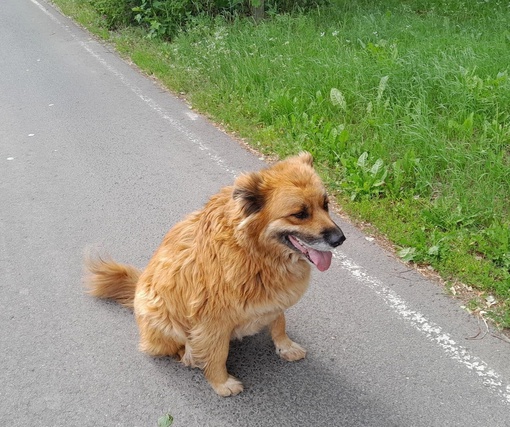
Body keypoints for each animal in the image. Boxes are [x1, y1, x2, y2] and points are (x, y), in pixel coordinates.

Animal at [85, 152, 346, 396]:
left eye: (325, 205)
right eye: (300, 214)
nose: (340, 239)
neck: (254, 253)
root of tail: (137, 286)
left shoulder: (275, 299)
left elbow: (279, 322)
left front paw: (285, 346)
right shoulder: (213, 321)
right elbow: (218, 354)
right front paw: (221, 382)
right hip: (160, 314)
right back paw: (190, 354)